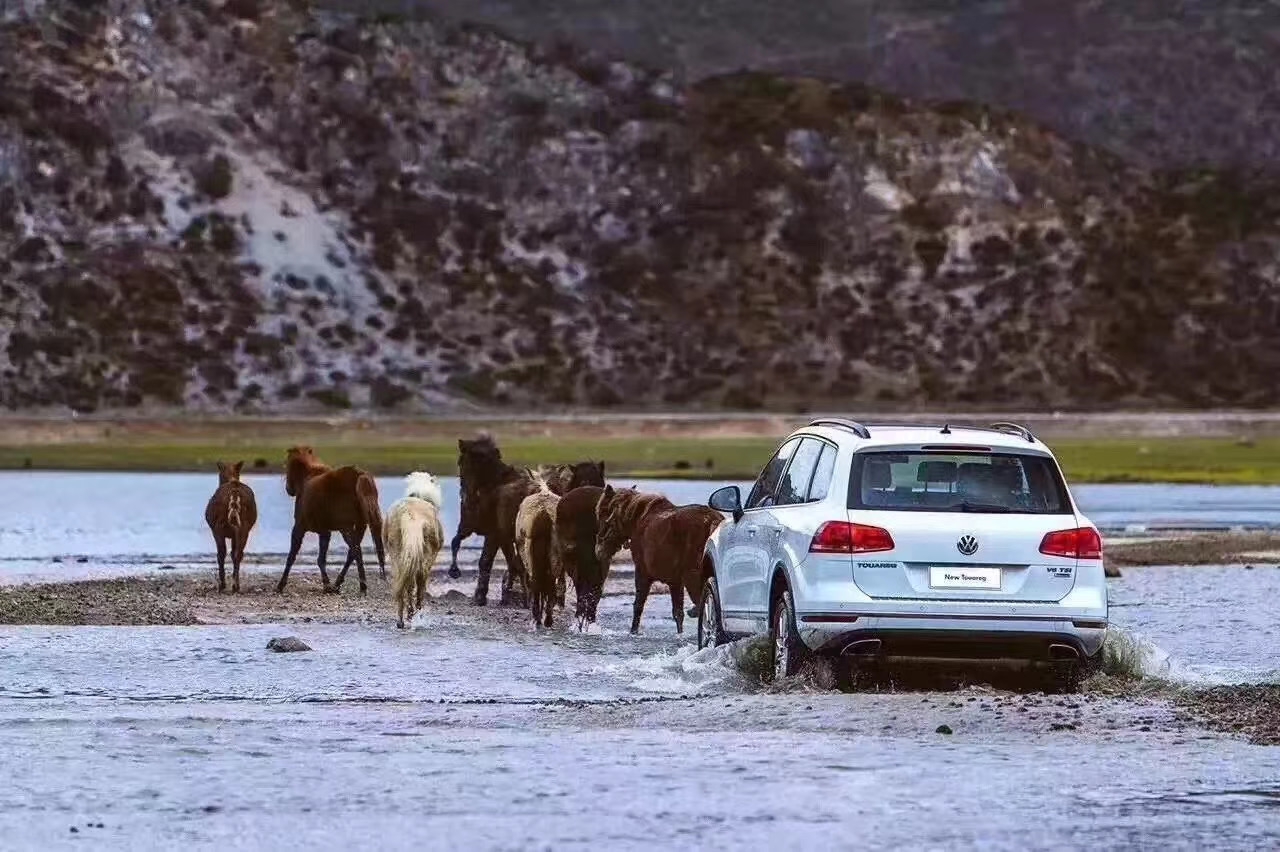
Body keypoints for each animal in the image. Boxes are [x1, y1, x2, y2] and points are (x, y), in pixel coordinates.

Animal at [202, 457, 254, 591]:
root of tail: (234, 492)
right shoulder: (235, 534)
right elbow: (233, 552)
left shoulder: (216, 529)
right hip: (244, 526)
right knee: (238, 553)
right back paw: (236, 585)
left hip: (218, 526)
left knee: (221, 553)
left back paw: (222, 584)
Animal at [275, 447, 384, 593]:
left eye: (287, 466)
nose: (289, 489)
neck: (306, 479)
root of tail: (360, 476)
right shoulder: (325, 531)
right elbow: (321, 559)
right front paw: (328, 585)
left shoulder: (299, 527)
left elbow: (293, 556)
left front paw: (281, 585)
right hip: (360, 525)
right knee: (352, 553)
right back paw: (340, 584)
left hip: (346, 528)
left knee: (356, 551)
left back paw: (361, 586)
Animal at [381, 470, 448, 624]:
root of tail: (410, 515)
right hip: (426, 555)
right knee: (418, 581)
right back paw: (415, 613)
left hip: (397, 553)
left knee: (403, 581)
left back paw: (401, 620)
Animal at [593, 483, 727, 629]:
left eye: (602, 513)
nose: (599, 551)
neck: (636, 519)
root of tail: (712, 521)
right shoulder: (675, 582)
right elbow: (678, 614)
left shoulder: (643, 573)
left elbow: (638, 606)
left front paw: (633, 630)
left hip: (693, 579)